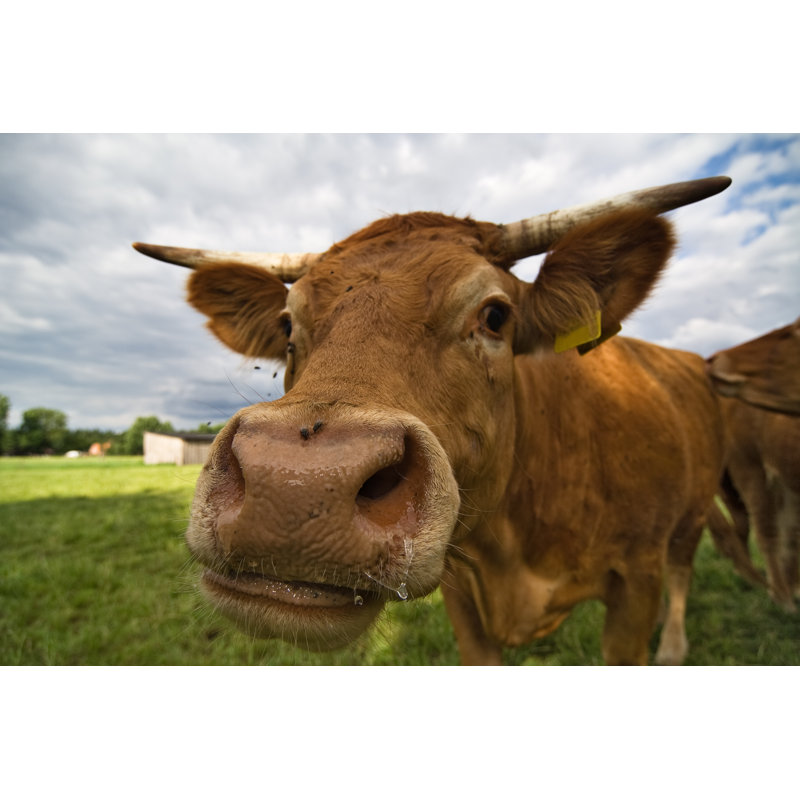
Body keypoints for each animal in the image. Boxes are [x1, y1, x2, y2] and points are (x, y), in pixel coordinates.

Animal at [134, 176, 731, 665]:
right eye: (286, 325)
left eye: (496, 316)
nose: (293, 486)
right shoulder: (464, 596)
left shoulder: (636, 575)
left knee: (682, 569)